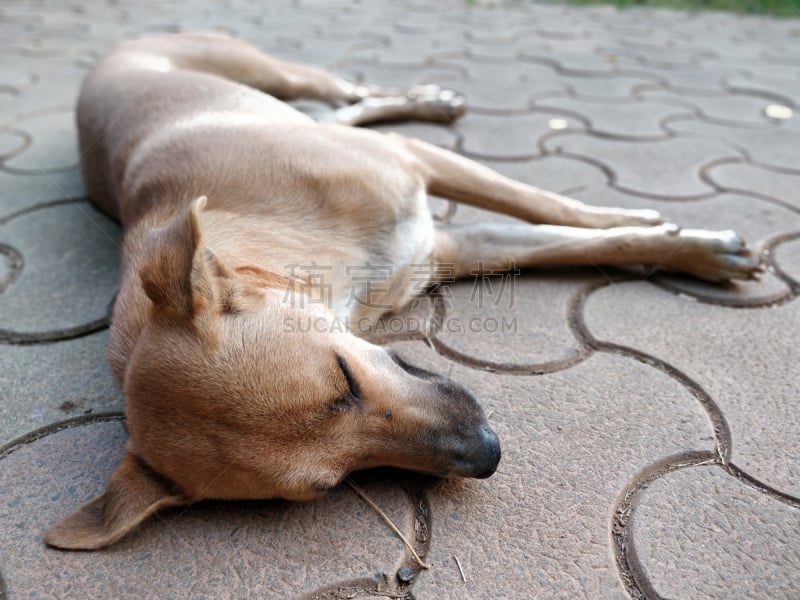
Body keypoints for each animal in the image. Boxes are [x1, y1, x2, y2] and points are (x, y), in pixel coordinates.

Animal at [45, 31, 764, 548]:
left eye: (344, 377)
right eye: (325, 486)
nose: (487, 454)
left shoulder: (419, 166)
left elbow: (554, 207)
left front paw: (671, 233)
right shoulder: (445, 249)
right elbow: (567, 238)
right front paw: (677, 242)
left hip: (272, 71)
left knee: (342, 92)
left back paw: (427, 99)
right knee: (344, 108)